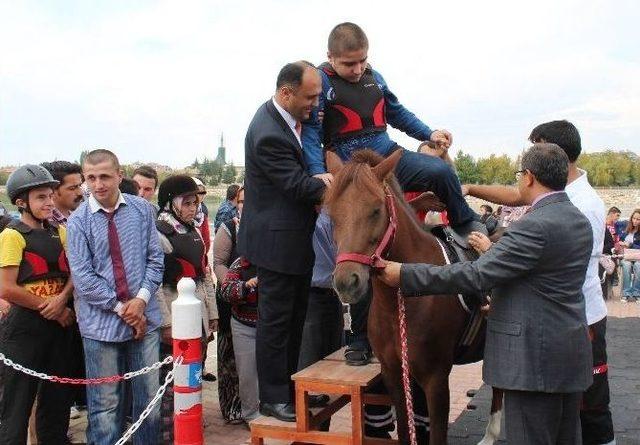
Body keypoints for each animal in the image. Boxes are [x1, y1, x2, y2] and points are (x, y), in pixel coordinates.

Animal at [328, 150, 502, 444]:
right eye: (331, 215)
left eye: (376, 210)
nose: (347, 282)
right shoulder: (394, 375)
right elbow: (404, 430)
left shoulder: (435, 379)